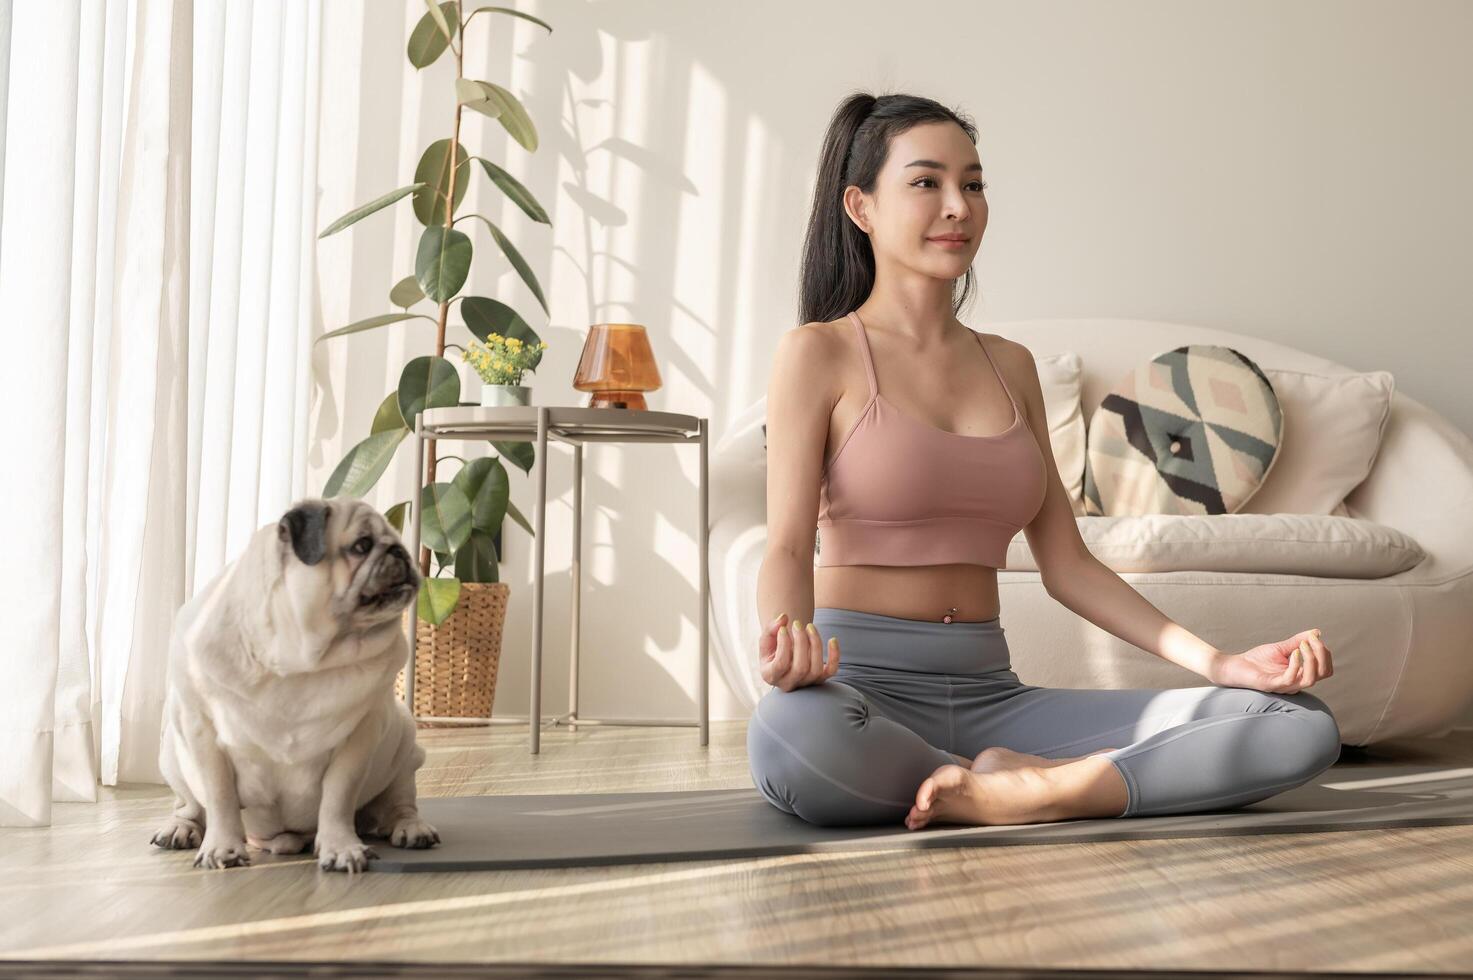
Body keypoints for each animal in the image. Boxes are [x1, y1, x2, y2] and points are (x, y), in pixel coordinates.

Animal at [156, 498, 441, 872]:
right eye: (361, 546)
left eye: (397, 541)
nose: (401, 552)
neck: (302, 657)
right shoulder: (202, 730)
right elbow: (220, 797)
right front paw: (222, 846)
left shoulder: (360, 736)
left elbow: (338, 795)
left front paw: (340, 846)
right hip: (173, 755)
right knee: (189, 804)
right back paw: (180, 829)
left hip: (405, 747)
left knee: (400, 802)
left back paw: (411, 828)